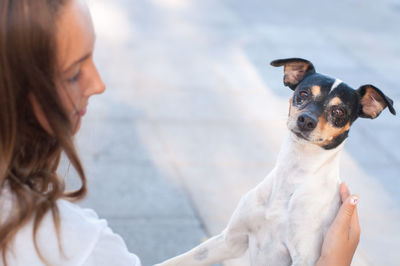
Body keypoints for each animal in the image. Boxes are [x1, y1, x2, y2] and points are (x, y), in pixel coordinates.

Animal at [155, 58, 396, 266]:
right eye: (303, 93)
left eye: (338, 111)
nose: (306, 120)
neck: (293, 177)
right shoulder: (230, 240)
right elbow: (173, 261)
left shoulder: (304, 259)